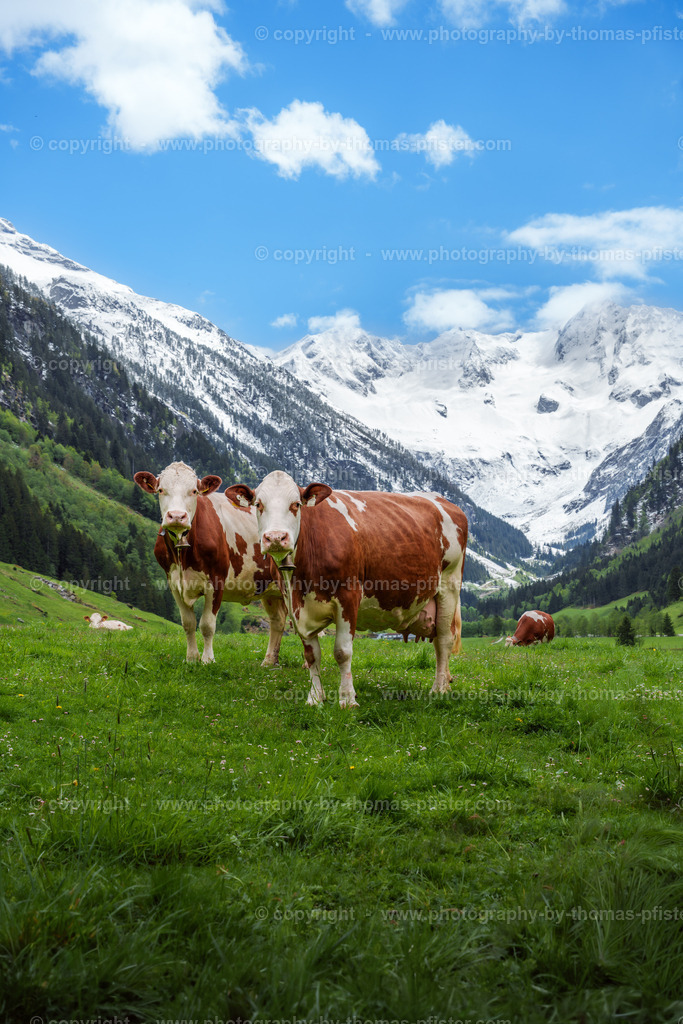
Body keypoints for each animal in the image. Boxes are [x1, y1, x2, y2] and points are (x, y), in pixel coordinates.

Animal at [134, 462, 286, 666]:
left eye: (194, 491)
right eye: (160, 490)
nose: (176, 516)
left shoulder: (216, 581)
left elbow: (207, 624)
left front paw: (207, 660)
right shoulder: (174, 584)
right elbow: (188, 623)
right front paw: (191, 658)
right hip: (270, 589)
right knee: (278, 621)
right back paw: (269, 662)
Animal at [225, 471, 467, 708]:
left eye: (296, 504)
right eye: (258, 504)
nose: (275, 537)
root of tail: (444, 502)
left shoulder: (348, 596)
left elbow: (342, 652)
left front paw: (347, 699)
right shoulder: (294, 604)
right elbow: (311, 655)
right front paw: (315, 698)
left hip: (449, 586)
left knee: (444, 640)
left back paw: (438, 689)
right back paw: (447, 682)